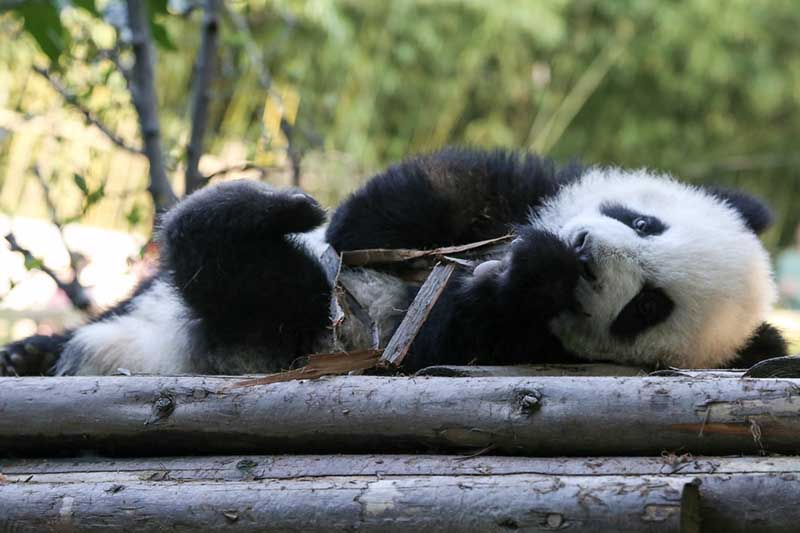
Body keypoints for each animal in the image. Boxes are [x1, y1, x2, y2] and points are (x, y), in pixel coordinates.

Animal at [0, 147, 788, 376]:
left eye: (646, 307)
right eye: (642, 221)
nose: (585, 251)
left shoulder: (507, 341)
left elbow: (443, 333)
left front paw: (541, 271)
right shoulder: (522, 189)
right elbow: (434, 188)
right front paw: (353, 222)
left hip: (293, 328)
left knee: (245, 279)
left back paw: (244, 220)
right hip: (146, 303)